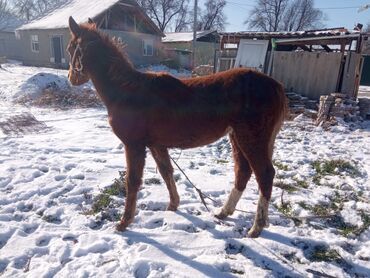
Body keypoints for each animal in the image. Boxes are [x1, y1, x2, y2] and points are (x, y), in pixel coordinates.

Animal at [66, 16, 286, 237]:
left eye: (70, 49)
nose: (71, 78)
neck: (127, 91)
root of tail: (276, 86)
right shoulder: (156, 144)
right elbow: (166, 171)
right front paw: (173, 205)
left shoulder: (134, 145)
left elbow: (133, 181)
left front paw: (124, 223)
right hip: (237, 137)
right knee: (243, 171)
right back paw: (224, 212)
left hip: (251, 138)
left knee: (264, 174)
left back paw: (256, 227)